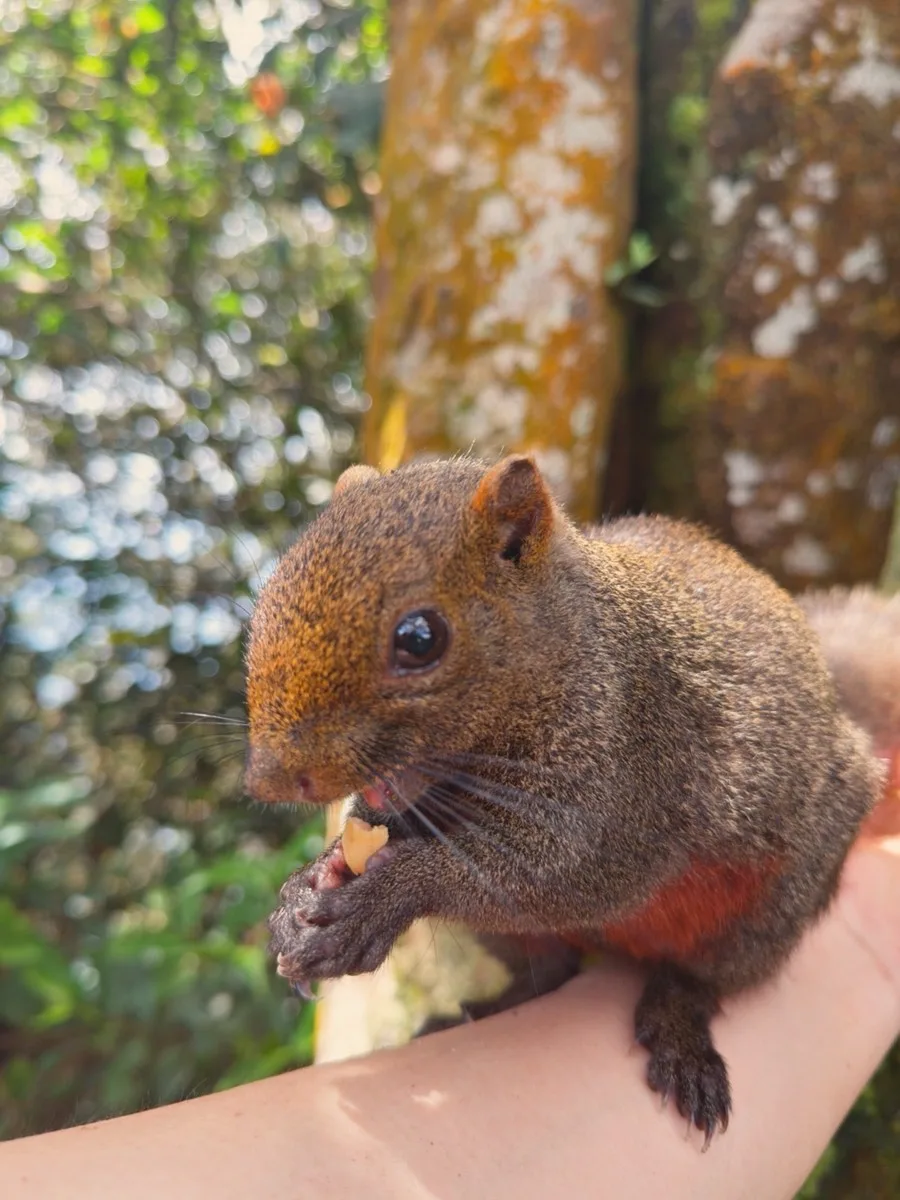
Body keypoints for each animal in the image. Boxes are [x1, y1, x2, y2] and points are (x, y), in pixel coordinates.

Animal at [245, 453, 899, 1143]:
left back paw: (680, 1027)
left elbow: (559, 872)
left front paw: (384, 898)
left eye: (420, 638)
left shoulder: (634, 769)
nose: (267, 779)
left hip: (772, 906)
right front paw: (303, 891)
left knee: (703, 977)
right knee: (549, 968)